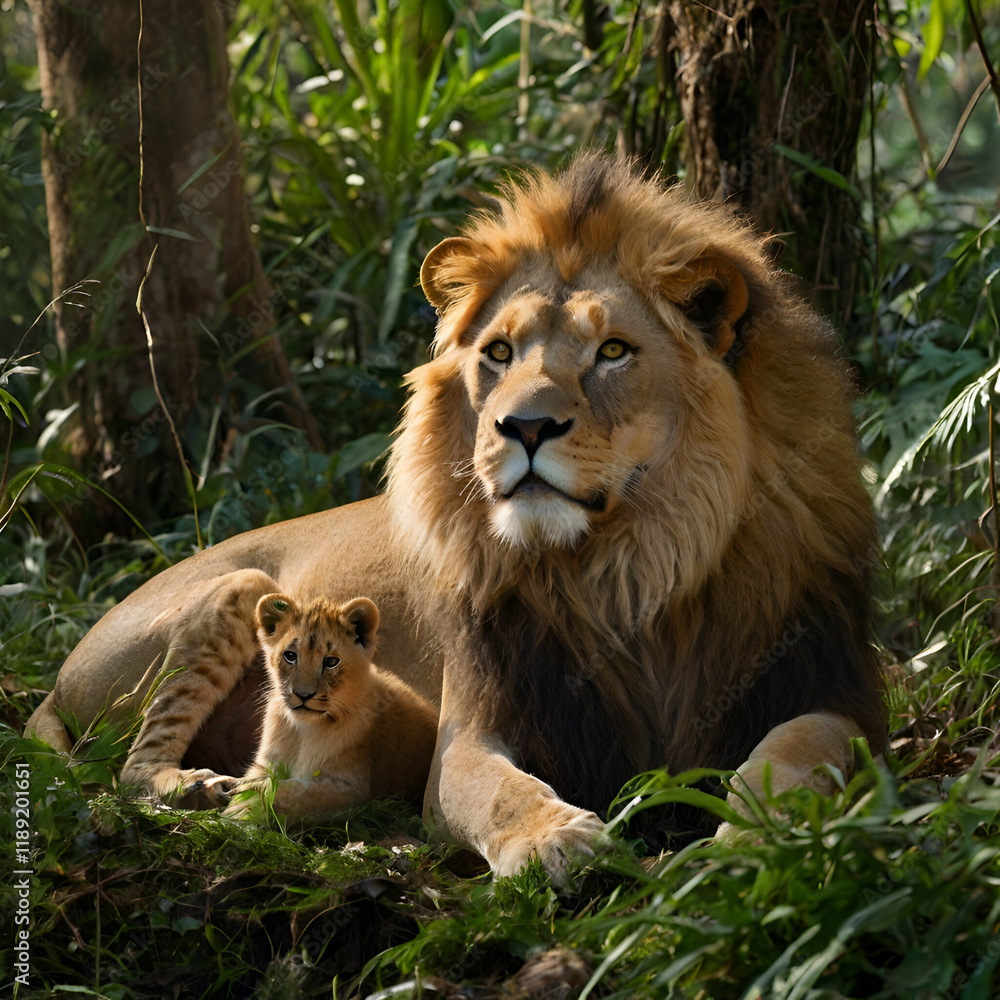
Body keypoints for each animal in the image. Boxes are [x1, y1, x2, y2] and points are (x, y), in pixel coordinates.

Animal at [223, 593, 437, 823]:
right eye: (290, 656)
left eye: (331, 662)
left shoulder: (354, 791)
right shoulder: (266, 763)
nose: (303, 695)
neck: (304, 729)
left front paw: (239, 811)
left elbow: (288, 792)